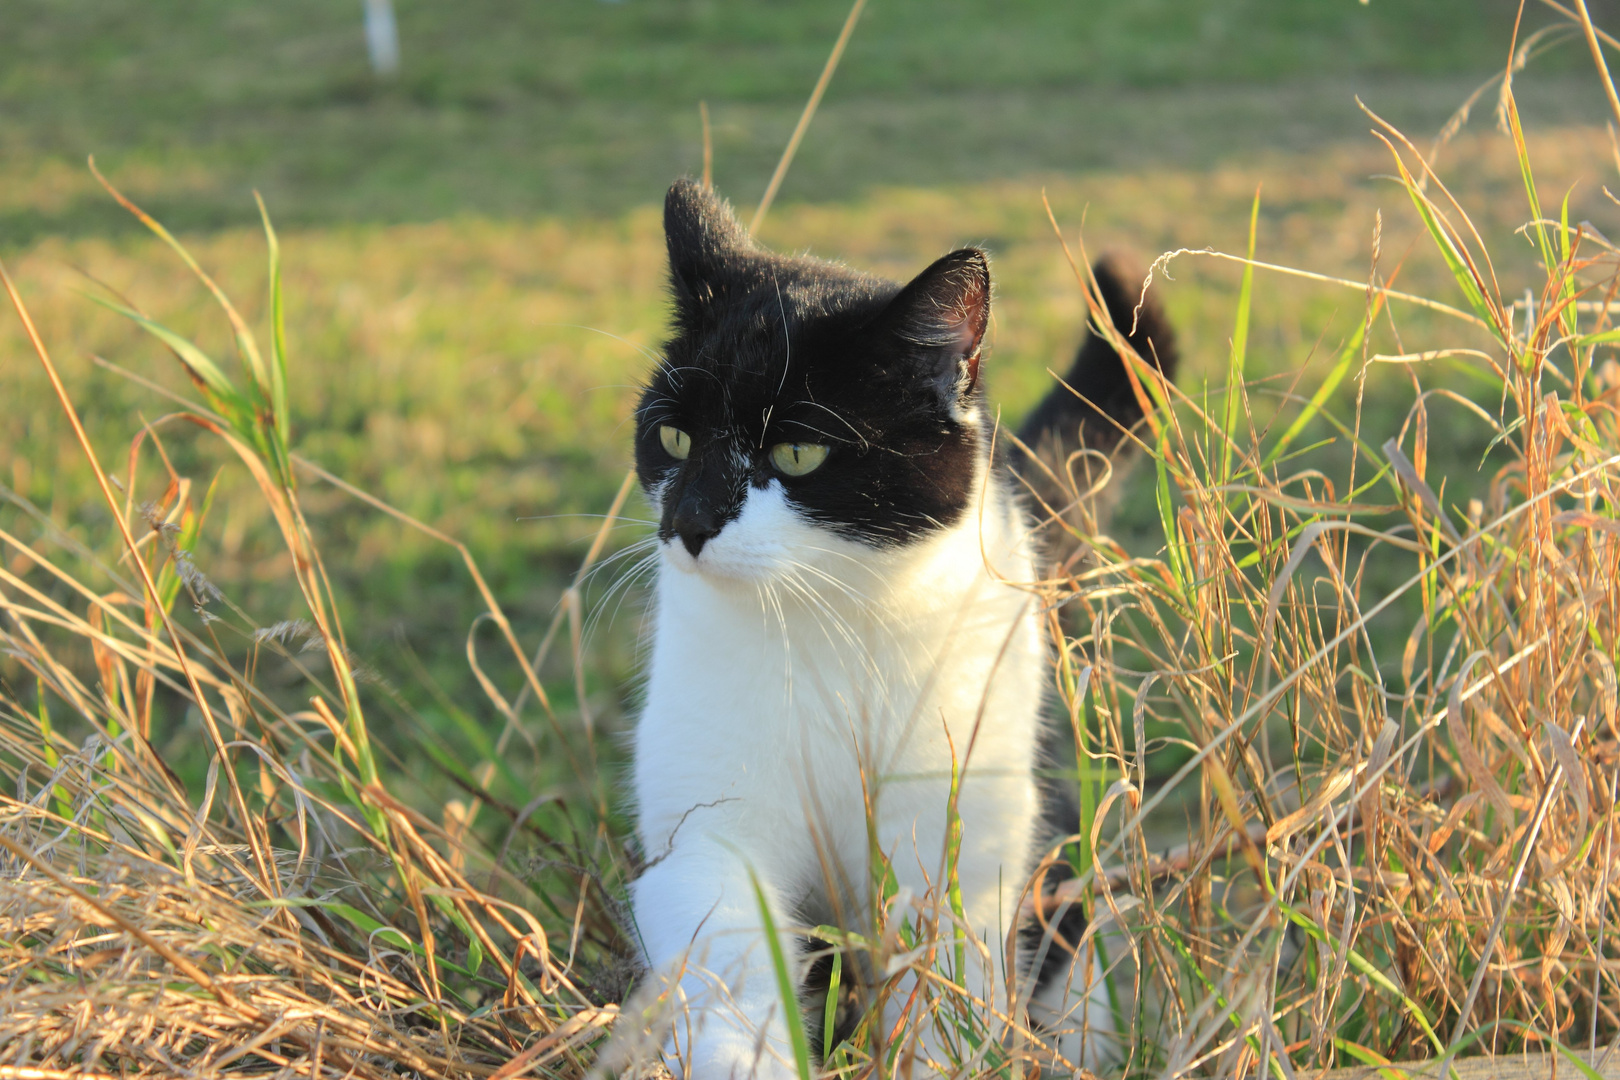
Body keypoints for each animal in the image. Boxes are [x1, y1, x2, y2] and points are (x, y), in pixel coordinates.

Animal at [622, 181, 1179, 1075]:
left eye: (799, 455)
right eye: (671, 437)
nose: (690, 522)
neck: (828, 630)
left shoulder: (960, 853)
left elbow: (948, 994)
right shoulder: (706, 837)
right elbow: (724, 958)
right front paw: (743, 1054)